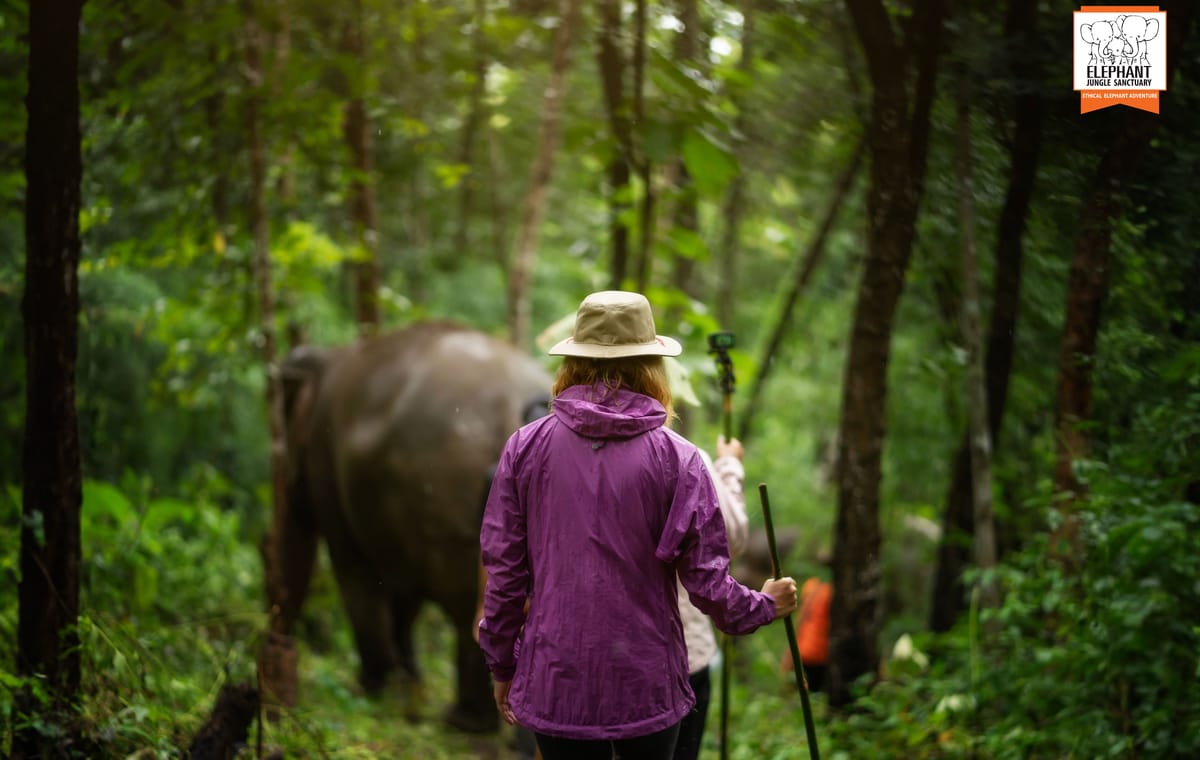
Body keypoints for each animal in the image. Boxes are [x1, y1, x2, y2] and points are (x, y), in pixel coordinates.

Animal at [276, 321, 552, 733]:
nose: (282, 644)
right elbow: (402, 591)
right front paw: (408, 681)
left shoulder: (327, 468)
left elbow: (355, 570)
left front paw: (372, 689)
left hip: (448, 496)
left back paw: (464, 721)